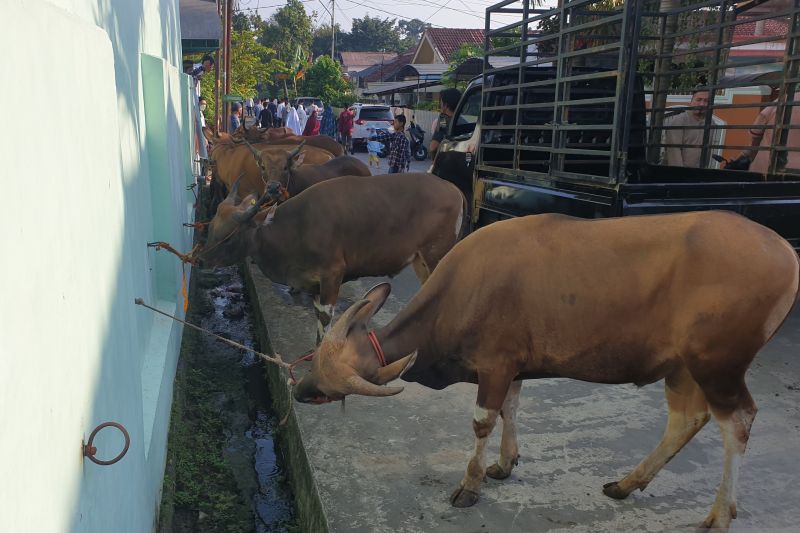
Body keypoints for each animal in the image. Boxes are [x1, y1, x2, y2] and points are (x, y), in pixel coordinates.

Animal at [196, 172, 466, 338]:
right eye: (211, 228)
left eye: (229, 236)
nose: (200, 260)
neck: (297, 228)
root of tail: (453, 188)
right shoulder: (314, 284)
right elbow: (317, 315)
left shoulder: (332, 276)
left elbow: (325, 320)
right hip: (420, 259)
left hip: (436, 254)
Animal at [292, 211, 800, 528]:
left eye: (328, 383)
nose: (299, 389)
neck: (465, 289)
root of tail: (785, 252)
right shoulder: (514, 367)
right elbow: (512, 410)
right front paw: (505, 463)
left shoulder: (495, 365)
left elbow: (482, 421)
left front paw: (471, 484)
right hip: (682, 368)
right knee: (686, 419)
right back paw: (628, 483)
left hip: (718, 365)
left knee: (737, 422)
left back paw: (718, 515)